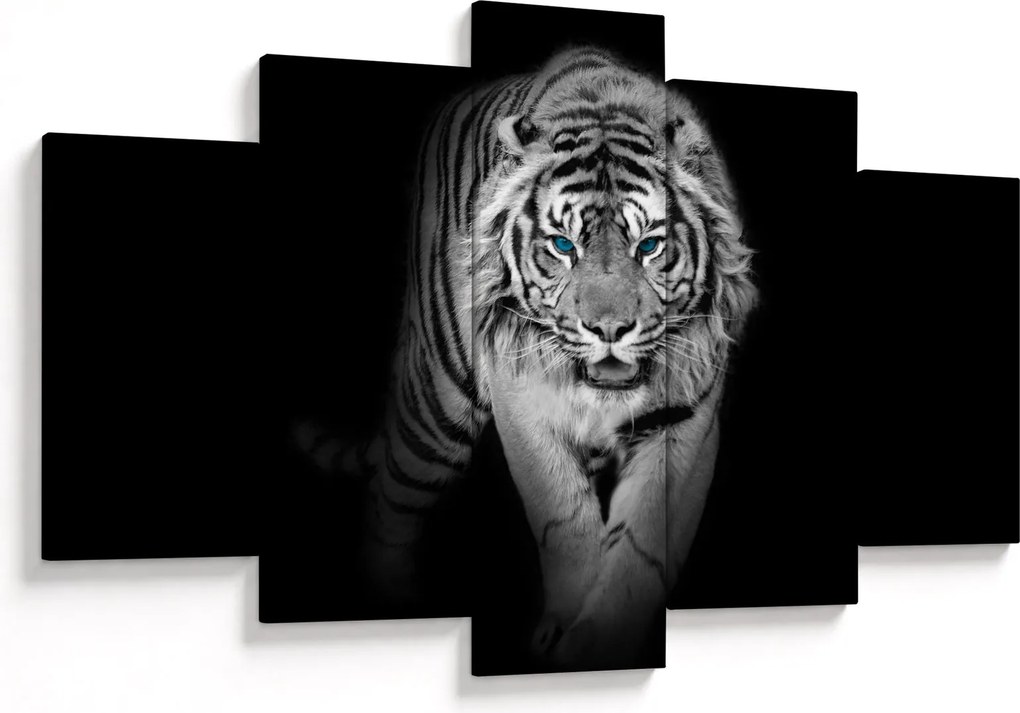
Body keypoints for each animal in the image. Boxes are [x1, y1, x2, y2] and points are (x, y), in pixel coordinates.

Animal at [298, 47, 756, 669]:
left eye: (650, 246)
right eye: (563, 246)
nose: (608, 328)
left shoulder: (685, 420)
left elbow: (641, 546)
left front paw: (599, 641)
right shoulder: (522, 403)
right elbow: (565, 519)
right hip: (438, 405)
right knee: (388, 501)